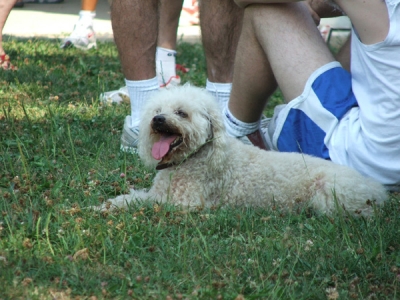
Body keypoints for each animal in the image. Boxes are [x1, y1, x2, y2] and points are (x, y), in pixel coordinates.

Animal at [104, 84, 386, 216]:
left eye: (181, 113)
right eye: (157, 110)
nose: (158, 120)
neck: (192, 158)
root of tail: (377, 189)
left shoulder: (186, 204)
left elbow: (143, 202)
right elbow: (135, 196)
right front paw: (110, 204)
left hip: (330, 193)